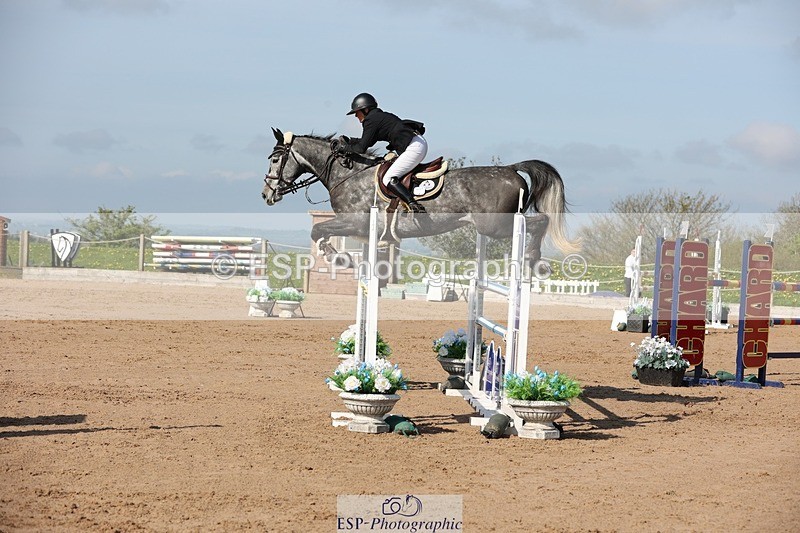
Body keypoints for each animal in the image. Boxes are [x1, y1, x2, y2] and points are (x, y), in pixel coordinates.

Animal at [261, 128, 579, 272]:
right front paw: (338, 256)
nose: (266, 194)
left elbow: (318, 231)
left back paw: (535, 261)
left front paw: (337, 256)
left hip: (495, 226)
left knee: (540, 221)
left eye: (275, 159)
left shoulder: (355, 223)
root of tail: (511, 169)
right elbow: (322, 232)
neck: (347, 173)